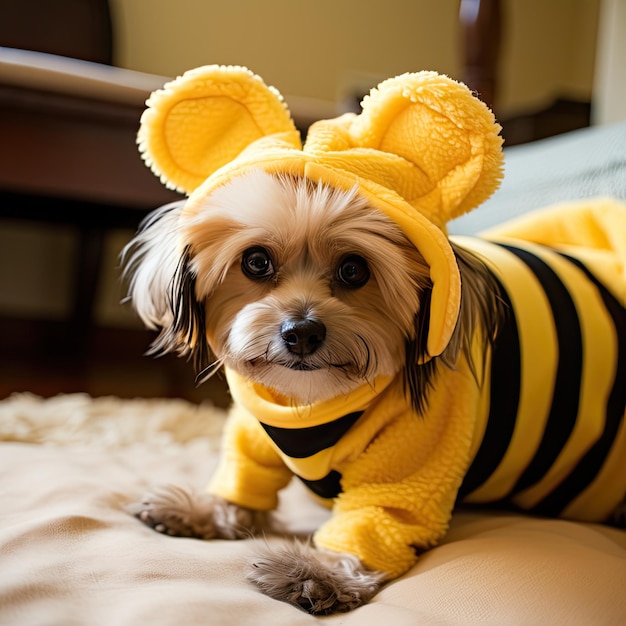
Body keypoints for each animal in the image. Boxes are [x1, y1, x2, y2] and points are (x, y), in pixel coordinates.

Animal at [119, 66, 620, 612]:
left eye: (354, 269)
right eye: (256, 262)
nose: (301, 332)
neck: (313, 404)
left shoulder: (413, 464)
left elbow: (372, 525)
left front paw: (315, 573)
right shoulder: (253, 432)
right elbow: (245, 479)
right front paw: (202, 509)